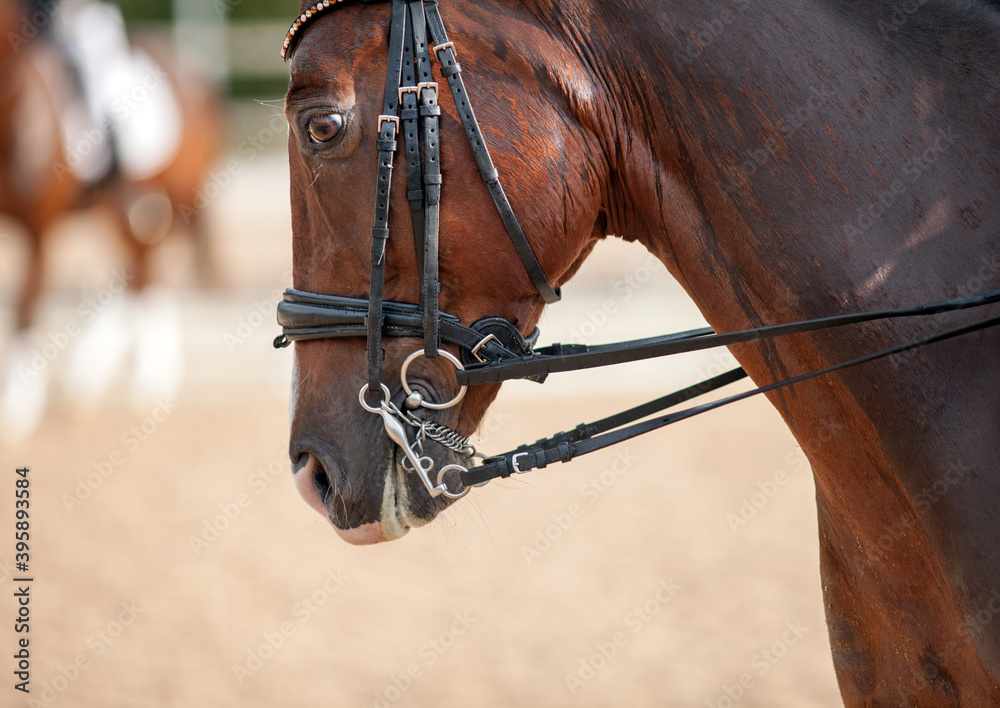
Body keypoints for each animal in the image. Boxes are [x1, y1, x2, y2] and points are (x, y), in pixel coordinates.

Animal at [0, 0, 221, 437]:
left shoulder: (39, 231)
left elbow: (26, 306)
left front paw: (17, 409)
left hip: (169, 195)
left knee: (146, 272)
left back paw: (149, 379)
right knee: (133, 275)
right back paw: (87, 379)